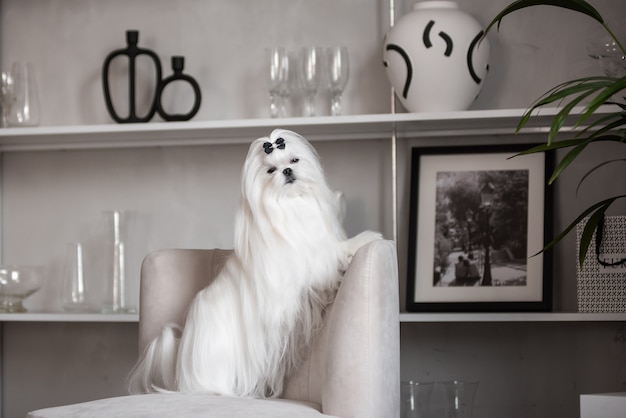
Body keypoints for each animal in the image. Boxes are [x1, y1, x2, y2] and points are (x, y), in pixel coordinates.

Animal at [127, 129, 380, 396]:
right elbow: (335, 252)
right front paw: (366, 238)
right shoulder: (312, 260)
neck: (291, 205)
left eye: (294, 160)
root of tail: (182, 370)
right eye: (270, 170)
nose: (286, 171)